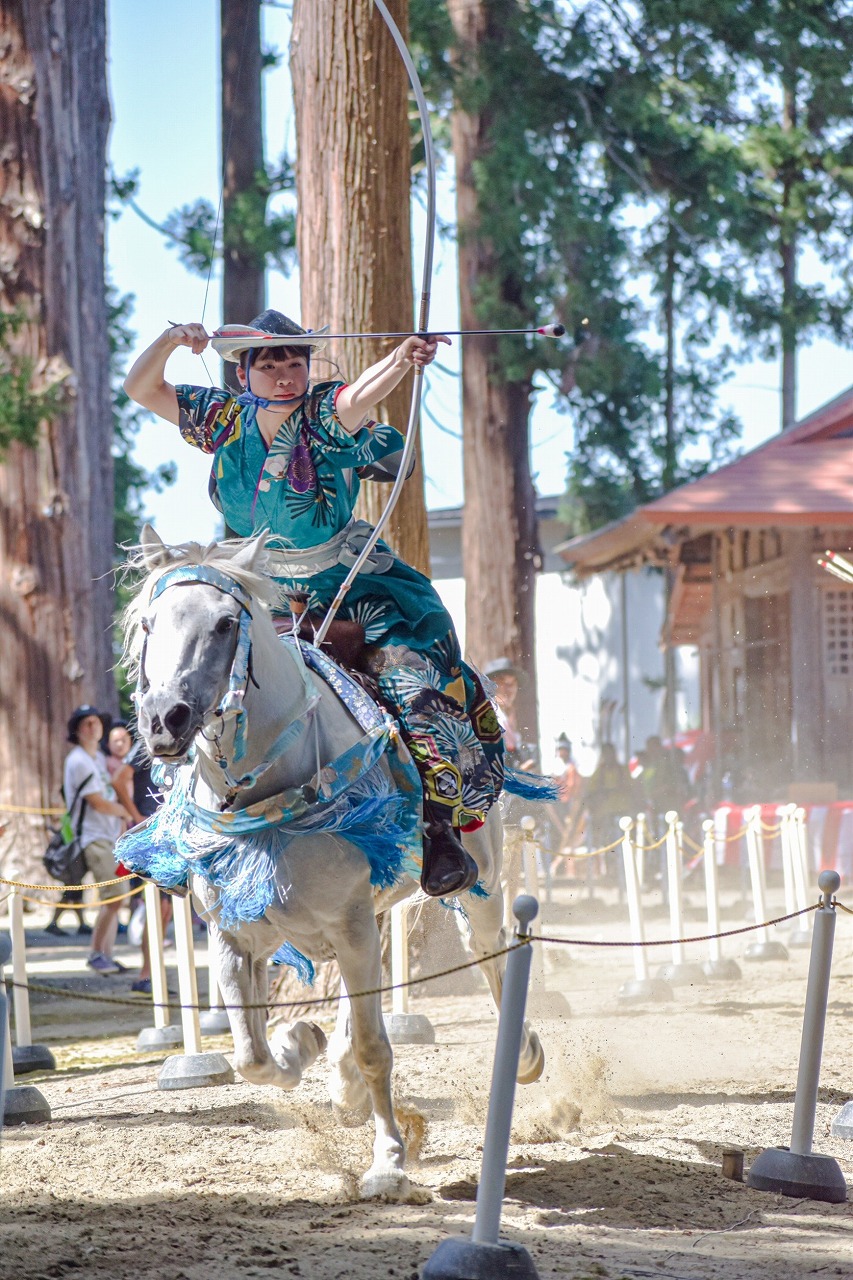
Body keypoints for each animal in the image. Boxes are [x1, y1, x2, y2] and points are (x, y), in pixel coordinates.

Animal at [121, 527, 537, 1198]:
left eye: (225, 624)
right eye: (148, 625)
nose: (164, 719)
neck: (268, 795)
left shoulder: (349, 922)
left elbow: (375, 1047)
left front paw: (388, 1160)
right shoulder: (238, 937)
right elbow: (252, 1056)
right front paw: (300, 1043)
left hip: (479, 874)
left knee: (488, 948)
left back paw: (521, 1053)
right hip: (365, 916)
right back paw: (338, 1077)